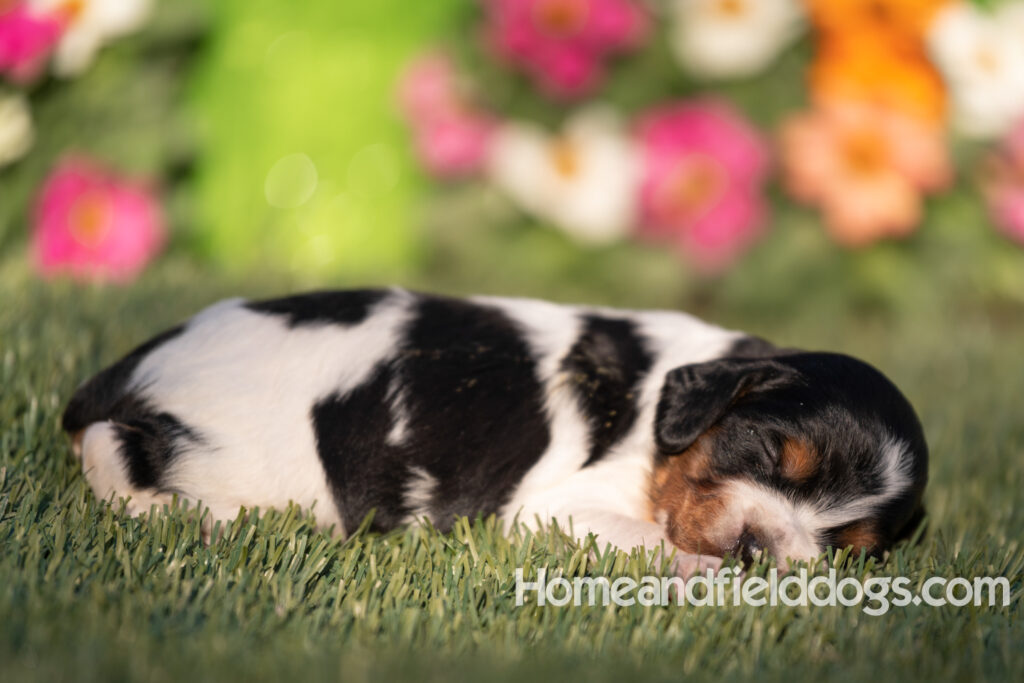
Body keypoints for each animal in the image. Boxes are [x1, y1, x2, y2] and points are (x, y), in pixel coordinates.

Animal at [61, 286, 929, 573]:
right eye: (766, 452)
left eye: (851, 547)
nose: (759, 551)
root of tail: (127, 371)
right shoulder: (557, 506)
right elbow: (650, 538)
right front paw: (706, 571)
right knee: (114, 459)